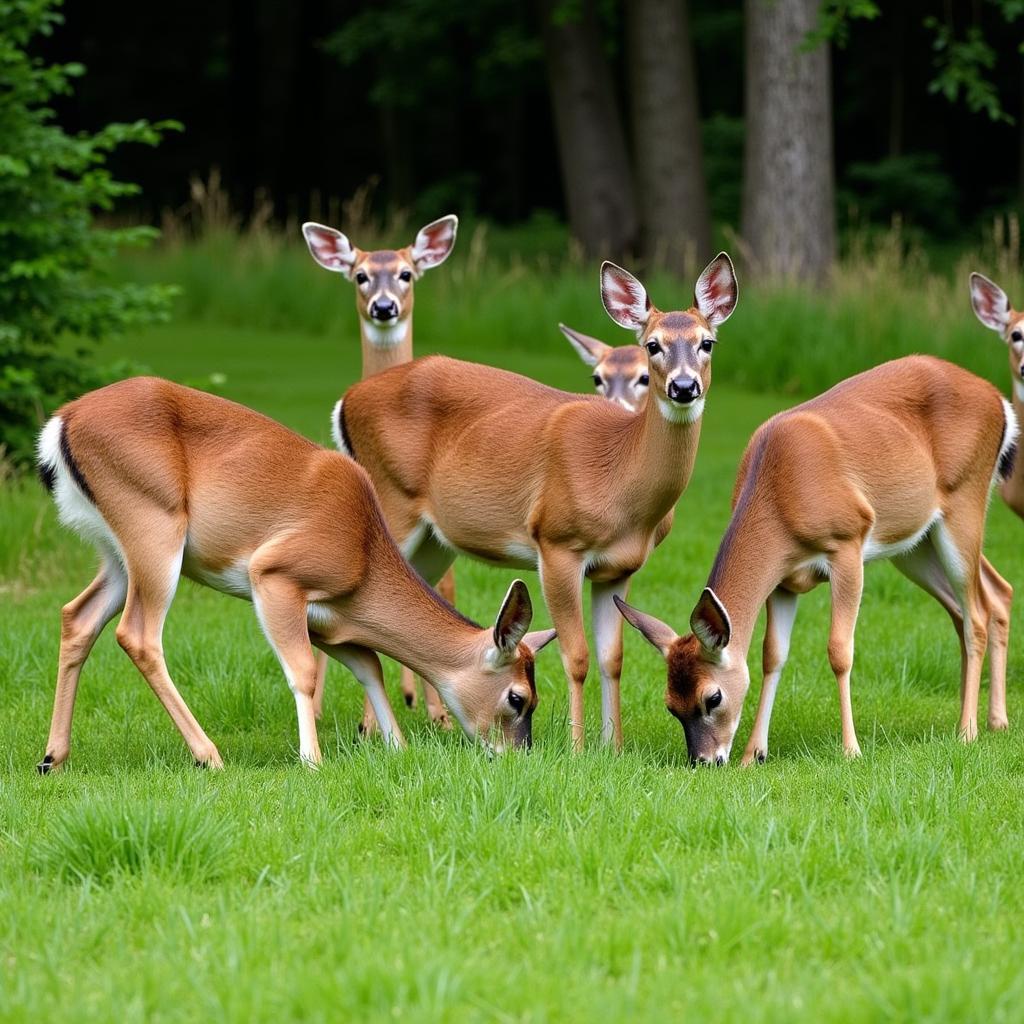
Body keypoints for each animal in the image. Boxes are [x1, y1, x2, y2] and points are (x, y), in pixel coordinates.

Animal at [36, 376, 557, 770]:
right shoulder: (276, 574)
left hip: (115, 550)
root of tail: (62, 423)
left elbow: (370, 665)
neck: (363, 559)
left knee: (77, 615)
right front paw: (313, 760)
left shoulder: (330, 622)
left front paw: (397, 747)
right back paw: (209, 756)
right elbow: (304, 671)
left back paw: (52, 758)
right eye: (517, 698)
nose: (521, 757)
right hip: (153, 526)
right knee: (138, 634)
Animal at [331, 256, 741, 753]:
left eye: (707, 342)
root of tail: (346, 399)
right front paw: (579, 748)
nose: (684, 386)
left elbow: (613, 657)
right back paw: (365, 729)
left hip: (433, 537)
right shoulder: (556, 542)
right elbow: (577, 655)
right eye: (652, 345)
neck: (622, 483)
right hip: (392, 500)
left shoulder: (619, 567)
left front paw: (614, 747)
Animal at [614, 356, 1015, 765]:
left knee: (975, 614)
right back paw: (995, 720)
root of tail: (997, 398)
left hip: (964, 501)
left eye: (712, 697)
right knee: (992, 594)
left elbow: (840, 650)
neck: (781, 500)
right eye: (670, 705)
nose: (703, 761)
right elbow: (772, 655)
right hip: (916, 544)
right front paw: (753, 754)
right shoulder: (784, 580)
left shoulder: (848, 542)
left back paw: (967, 730)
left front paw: (851, 749)